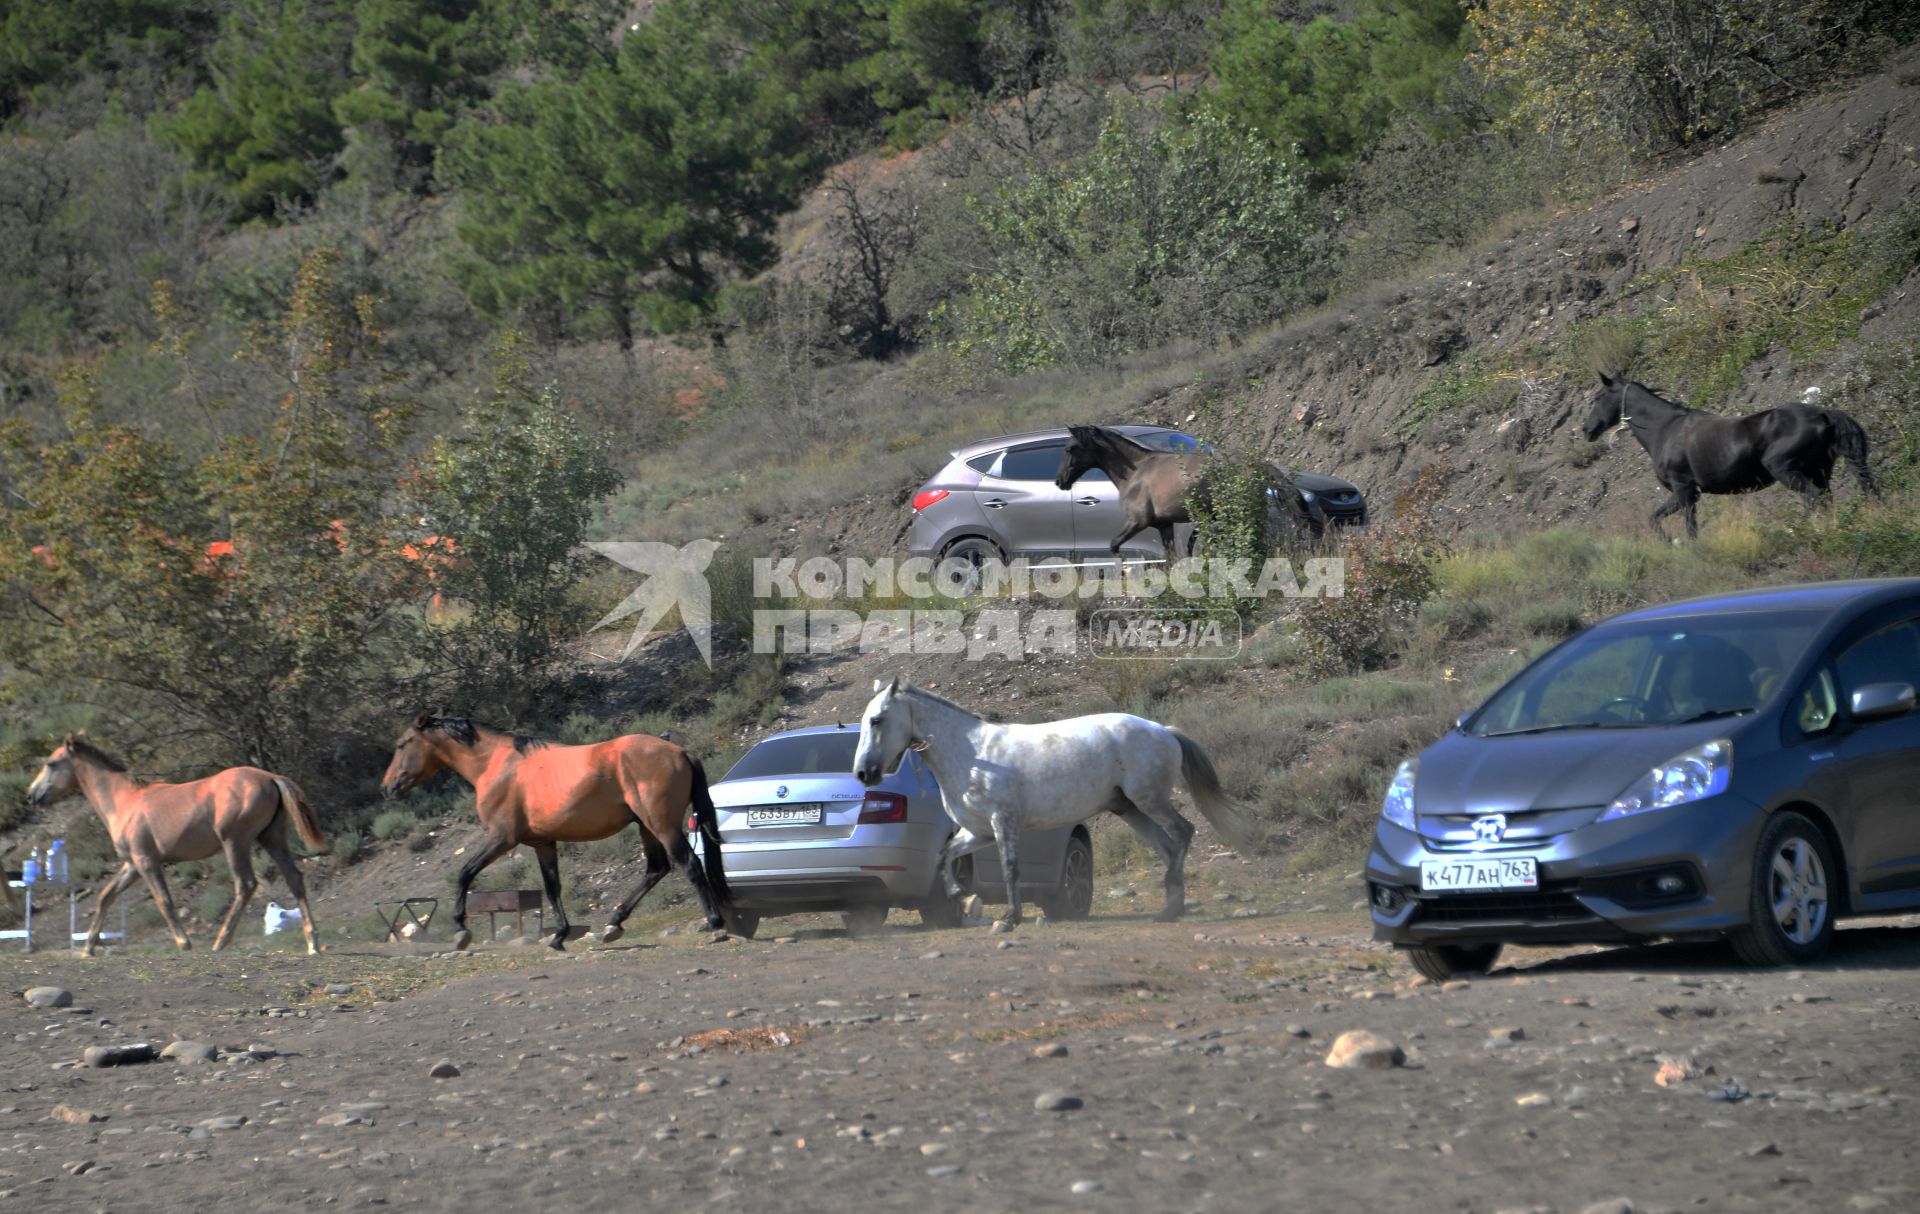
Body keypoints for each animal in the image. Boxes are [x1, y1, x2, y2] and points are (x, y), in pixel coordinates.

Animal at [25, 733, 326, 952]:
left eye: (51, 764)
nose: (31, 795)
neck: (123, 801)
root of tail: (270, 777)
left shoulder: (146, 861)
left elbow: (164, 900)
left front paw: (184, 942)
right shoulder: (132, 865)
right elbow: (106, 896)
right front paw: (88, 947)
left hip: (235, 842)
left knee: (246, 884)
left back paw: (220, 942)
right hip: (272, 838)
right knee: (294, 878)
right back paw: (312, 943)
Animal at [378, 714, 729, 952]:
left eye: (401, 744)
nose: (387, 787)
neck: (495, 765)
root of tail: (681, 752)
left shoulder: (501, 838)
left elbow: (465, 873)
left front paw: (460, 930)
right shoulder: (542, 843)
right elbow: (552, 888)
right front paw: (559, 936)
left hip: (661, 825)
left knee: (690, 866)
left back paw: (715, 925)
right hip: (646, 827)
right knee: (656, 869)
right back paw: (613, 925)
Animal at [852, 683, 1244, 929]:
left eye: (877, 720)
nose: (863, 773)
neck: (974, 754)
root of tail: (1163, 729)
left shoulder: (1003, 822)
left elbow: (1011, 869)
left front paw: (1009, 918)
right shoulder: (978, 832)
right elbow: (944, 858)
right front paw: (965, 901)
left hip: (1149, 800)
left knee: (1183, 832)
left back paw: (1173, 907)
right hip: (1130, 809)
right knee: (1168, 846)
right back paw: (1168, 910)